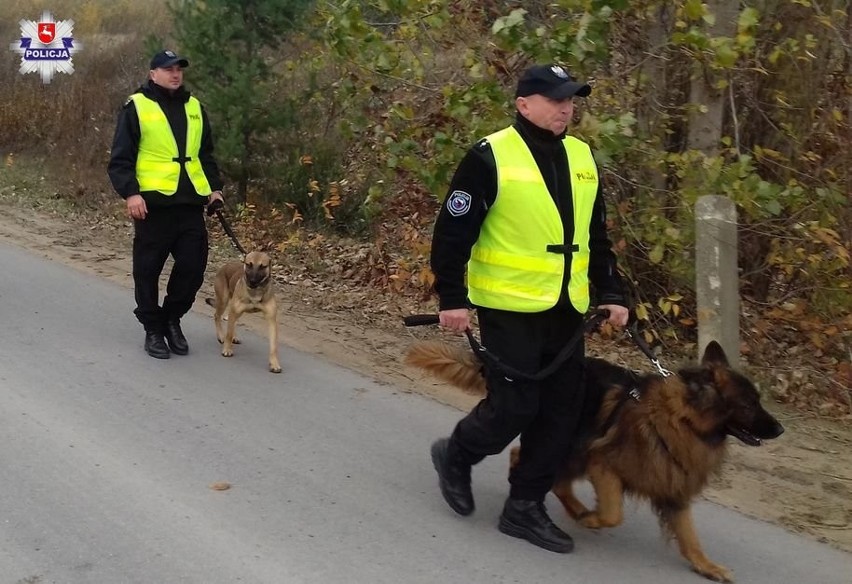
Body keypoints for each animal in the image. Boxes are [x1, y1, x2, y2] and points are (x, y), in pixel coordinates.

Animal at [406, 340, 784, 580]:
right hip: (572, 446)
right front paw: (594, 519)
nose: (781, 428)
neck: (682, 419)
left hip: (569, 447)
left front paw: (707, 566)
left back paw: (565, 508)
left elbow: (690, 537)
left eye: (757, 401)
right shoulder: (604, 465)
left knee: (550, 476)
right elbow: (613, 513)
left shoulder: (673, 488)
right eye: (748, 404)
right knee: (524, 459)